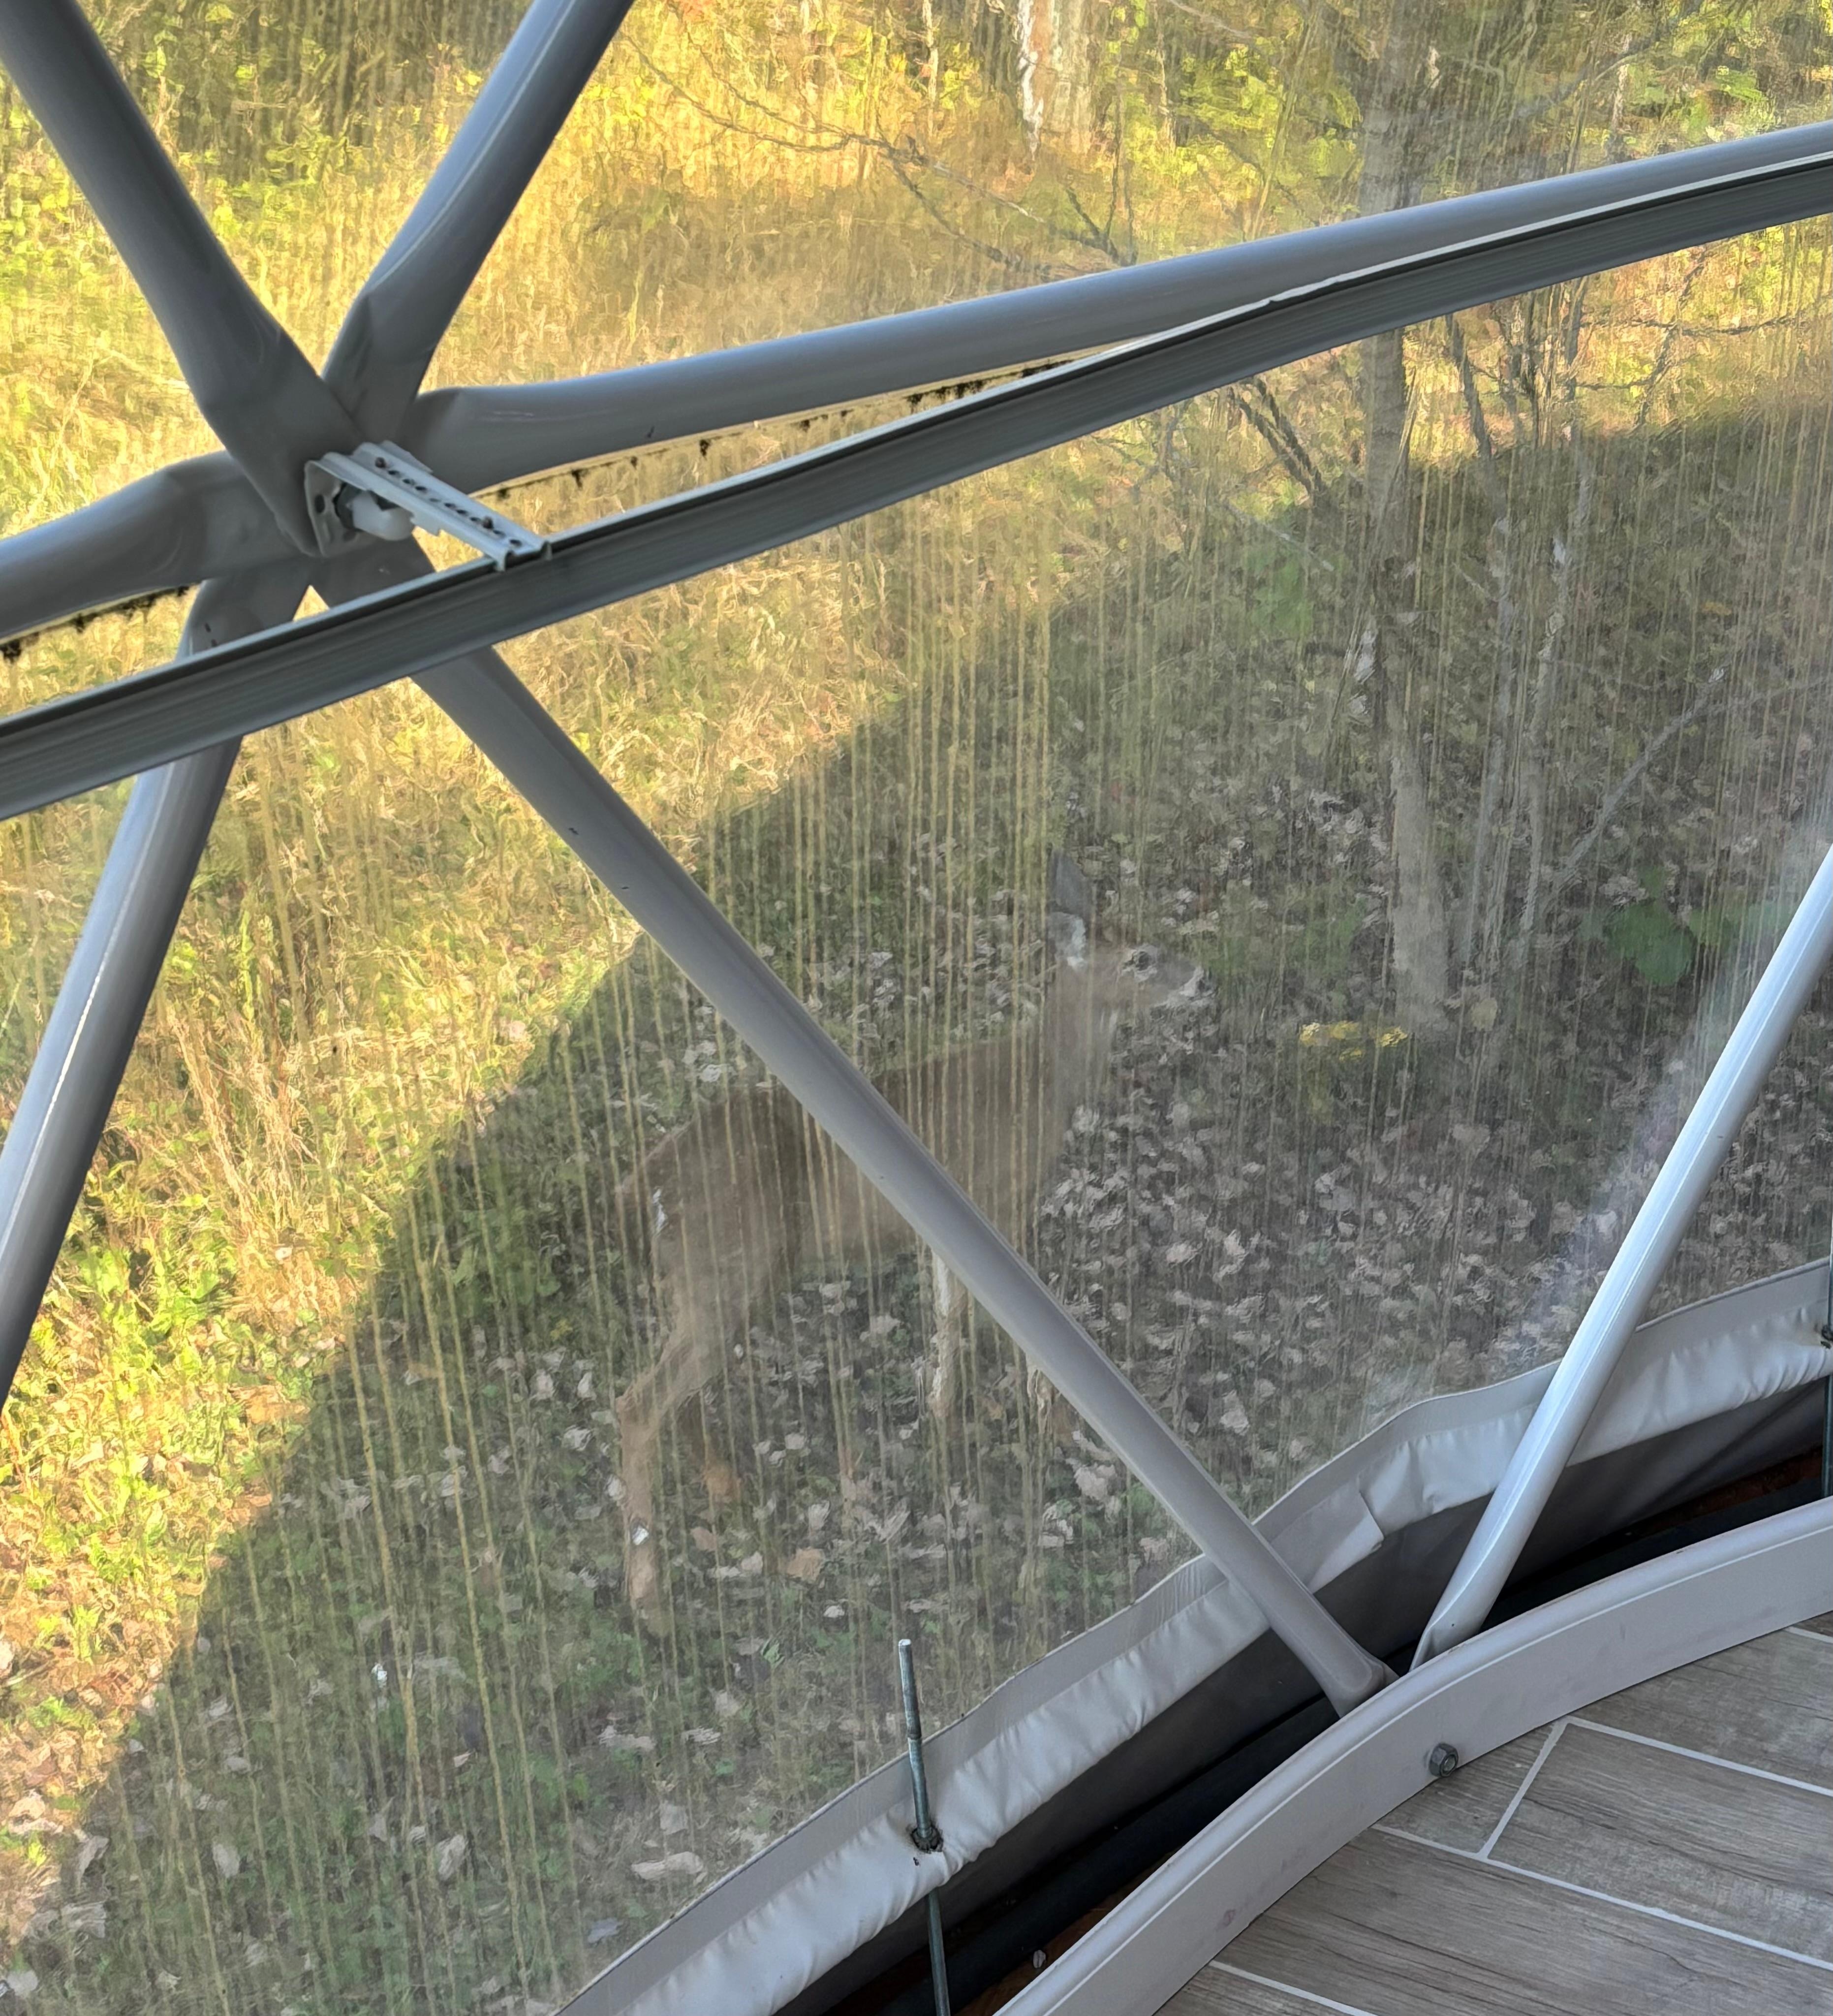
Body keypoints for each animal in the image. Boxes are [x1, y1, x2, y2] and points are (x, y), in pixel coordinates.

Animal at [611, 854, 1207, 1611]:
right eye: (1140, 958)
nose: (1200, 975)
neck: (1042, 1087)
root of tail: (643, 1187)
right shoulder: (1004, 1200)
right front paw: (1055, 1422)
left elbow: (948, 1311)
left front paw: (941, 1410)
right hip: (727, 1271)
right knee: (636, 1403)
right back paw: (647, 1595)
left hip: (699, 1284)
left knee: (672, 1396)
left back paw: (724, 1488)